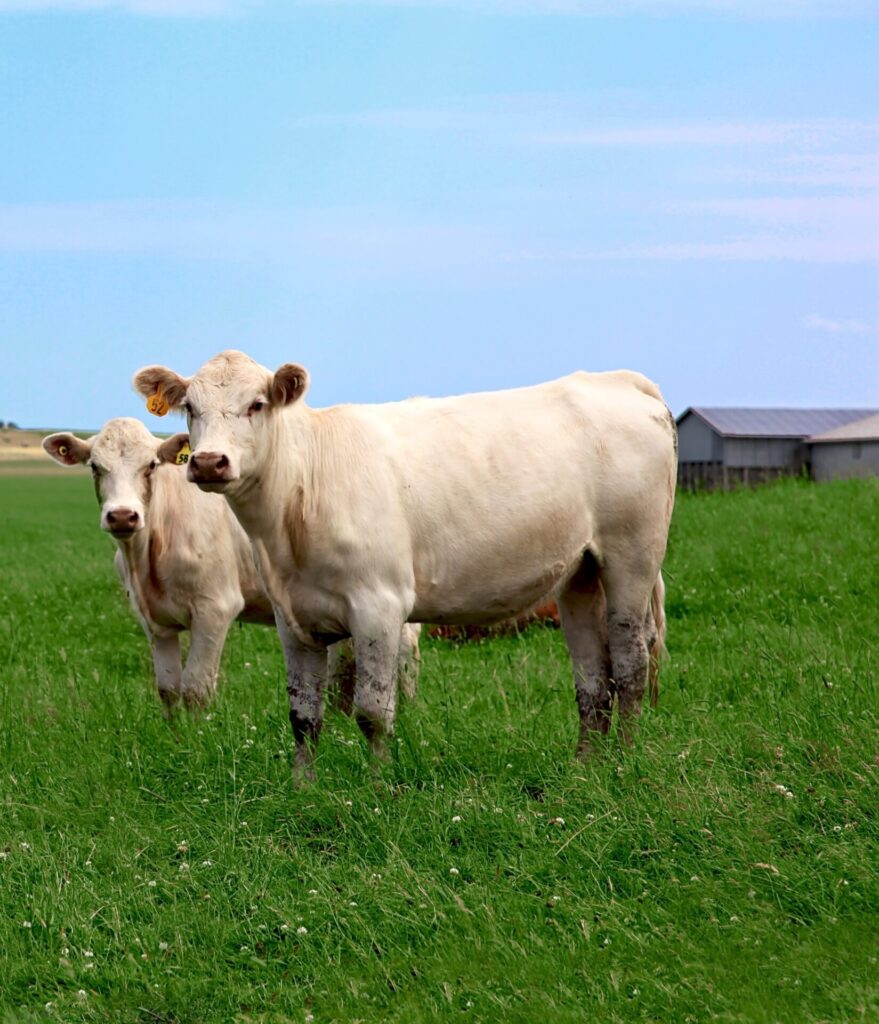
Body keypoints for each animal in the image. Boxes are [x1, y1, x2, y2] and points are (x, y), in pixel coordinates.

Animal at [43, 417, 420, 713]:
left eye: (150, 465)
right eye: (94, 466)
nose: (122, 515)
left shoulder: (215, 607)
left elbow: (195, 688)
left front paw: (195, 747)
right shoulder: (153, 620)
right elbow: (168, 690)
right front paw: (176, 740)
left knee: (405, 648)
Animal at [133, 351, 677, 779]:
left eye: (257, 404)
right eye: (189, 408)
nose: (208, 462)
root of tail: (617, 379)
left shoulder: (379, 606)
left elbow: (373, 711)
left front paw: (377, 786)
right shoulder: (293, 618)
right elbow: (303, 715)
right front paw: (302, 787)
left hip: (631, 558)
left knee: (629, 664)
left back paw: (625, 761)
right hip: (580, 574)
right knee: (593, 679)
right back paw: (586, 765)